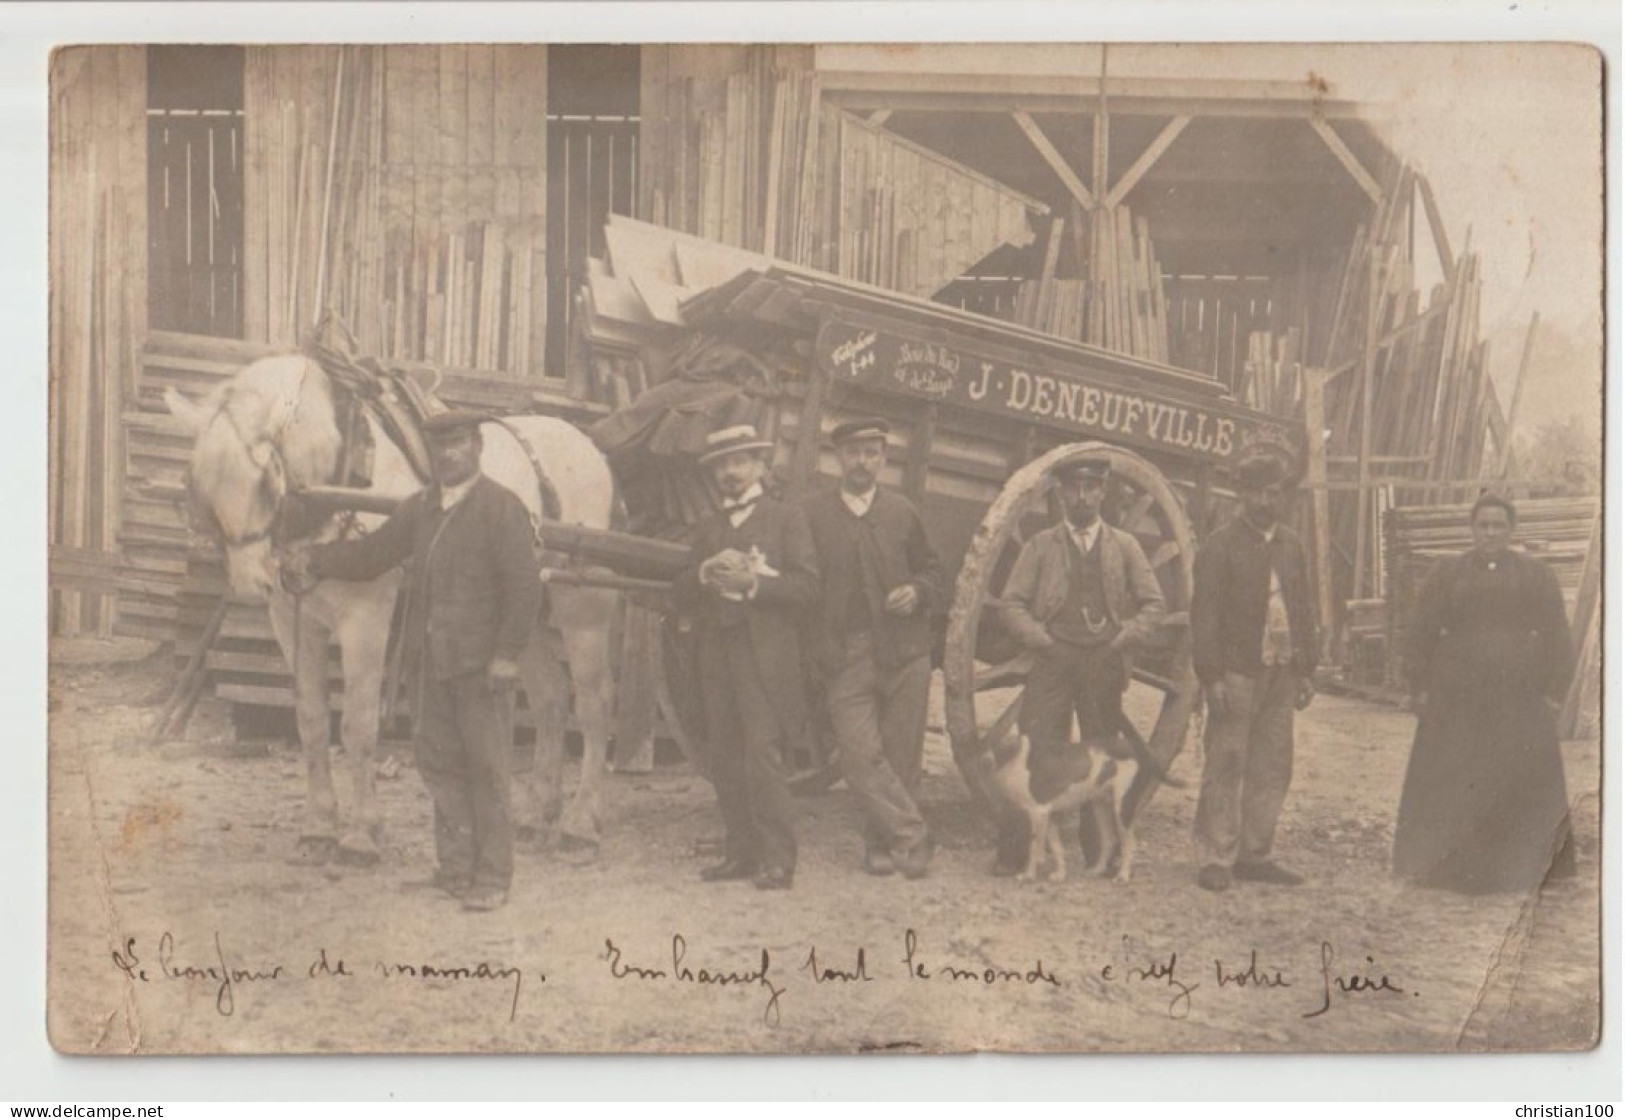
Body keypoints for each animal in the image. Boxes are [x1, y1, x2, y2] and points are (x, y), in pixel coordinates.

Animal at [168, 354, 617, 858]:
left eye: (266, 480)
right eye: (197, 484)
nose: (249, 584)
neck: (344, 477)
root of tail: (588, 446)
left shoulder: (366, 618)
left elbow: (358, 725)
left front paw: (361, 834)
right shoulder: (292, 620)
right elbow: (312, 722)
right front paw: (319, 824)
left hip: (583, 604)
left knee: (594, 704)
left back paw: (580, 821)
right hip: (524, 608)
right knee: (550, 699)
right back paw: (535, 815)